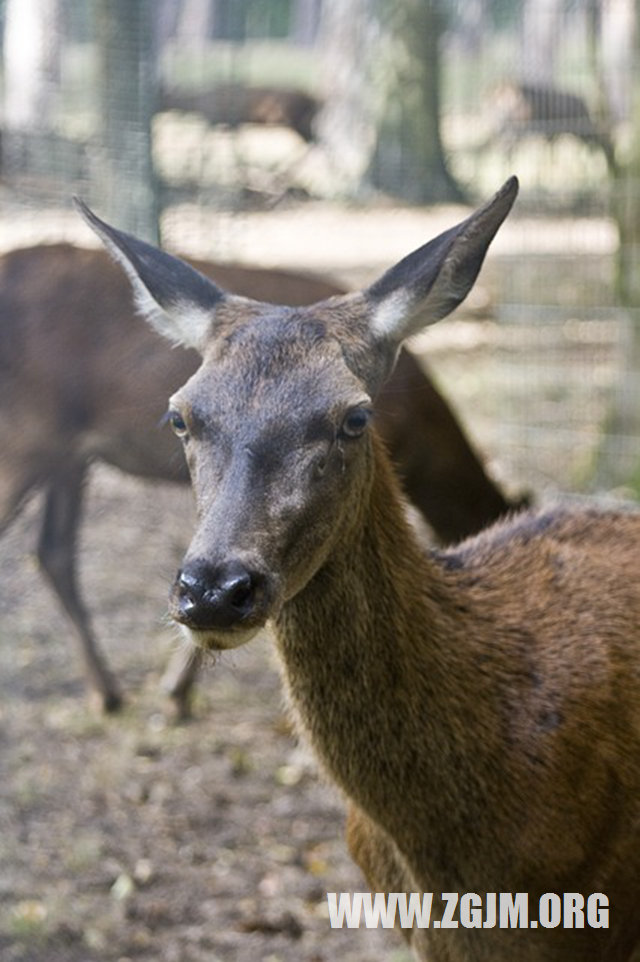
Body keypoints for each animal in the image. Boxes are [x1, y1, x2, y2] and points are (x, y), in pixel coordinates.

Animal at [0, 240, 524, 716]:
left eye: (355, 420)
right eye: (177, 418)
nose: (211, 597)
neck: (418, 440)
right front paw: (176, 691)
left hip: (66, 457)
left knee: (53, 552)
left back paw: (106, 692)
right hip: (26, 437)